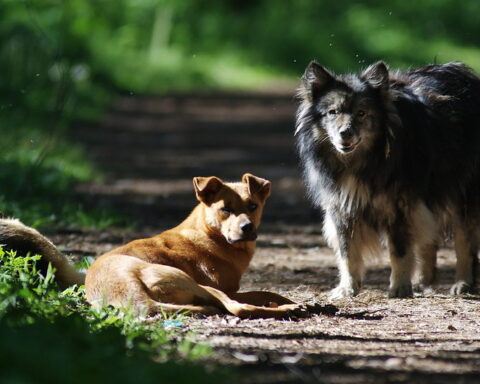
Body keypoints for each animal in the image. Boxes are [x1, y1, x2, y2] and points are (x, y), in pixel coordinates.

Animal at [0, 174, 306, 318]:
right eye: (225, 209)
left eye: (252, 206)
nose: (247, 228)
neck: (209, 234)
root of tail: (131, 294)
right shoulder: (226, 288)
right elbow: (258, 293)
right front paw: (290, 302)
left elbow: (265, 291)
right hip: (192, 282)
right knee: (236, 309)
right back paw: (286, 311)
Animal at [296, 61, 480, 298]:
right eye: (332, 112)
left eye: (362, 113)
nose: (345, 133)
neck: (361, 161)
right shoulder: (342, 207)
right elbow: (348, 253)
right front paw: (348, 288)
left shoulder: (399, 208)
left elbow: (399, 251)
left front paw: (400, 287)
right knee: (429, 240)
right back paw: (422, 281)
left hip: (462, 194)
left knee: (465, 243)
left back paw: (463, 283)